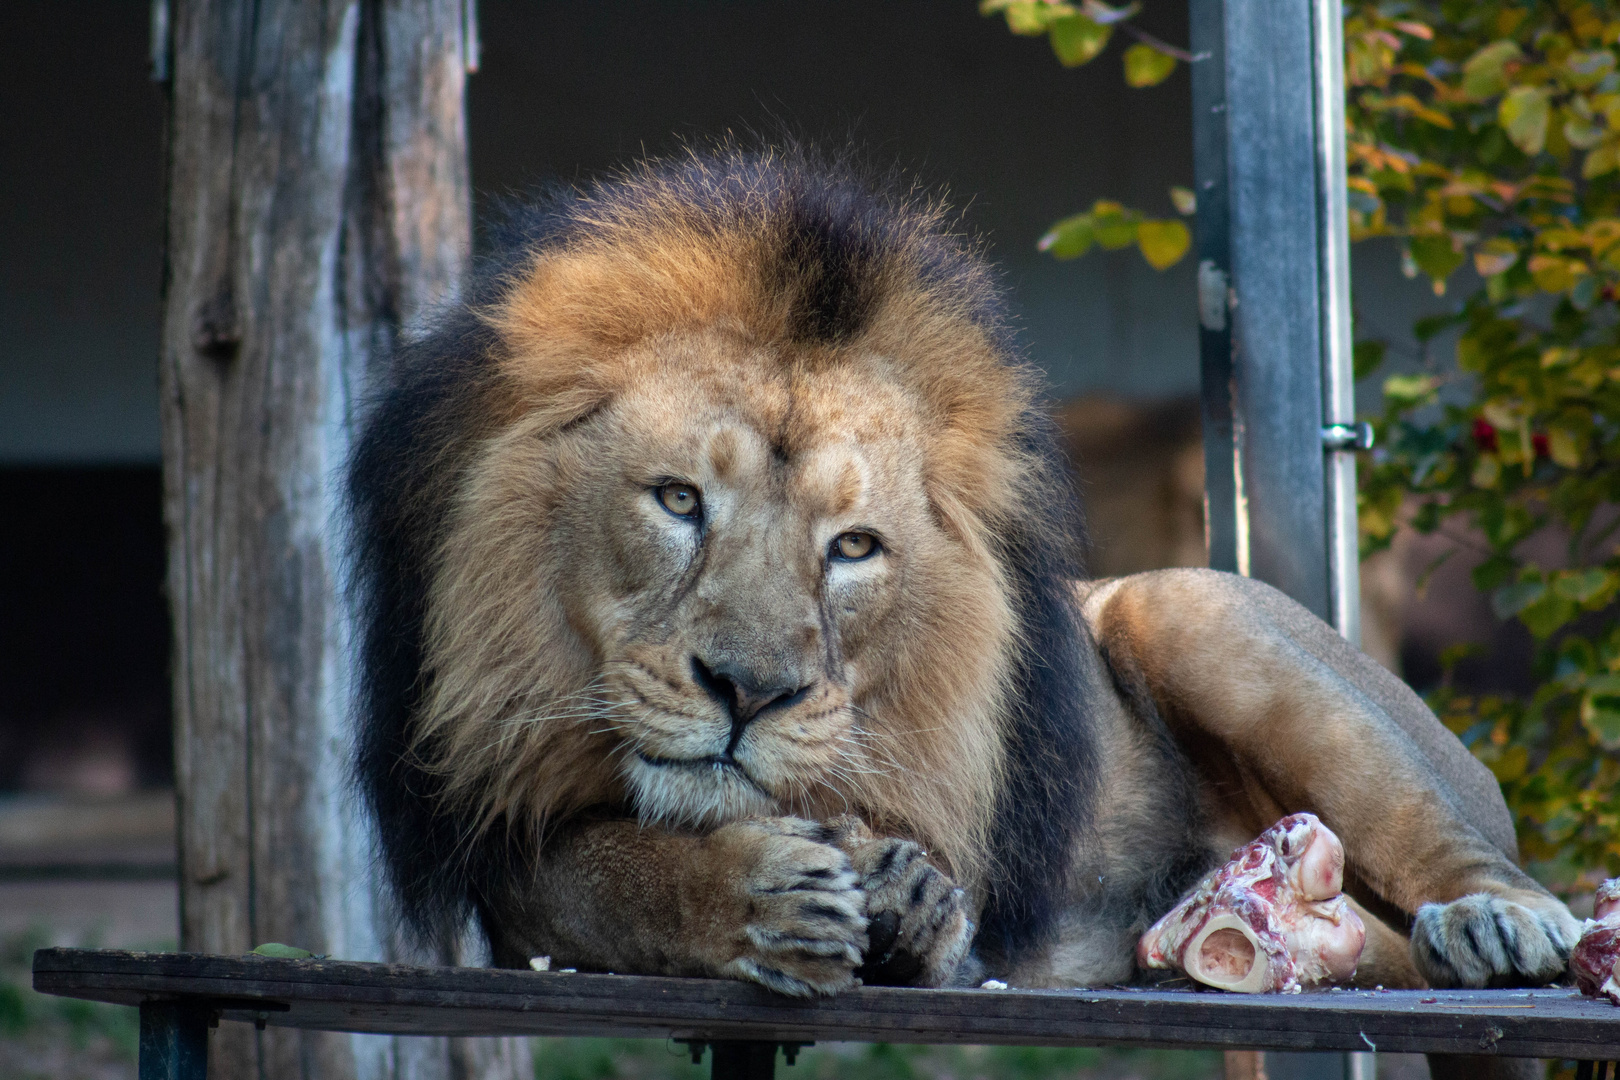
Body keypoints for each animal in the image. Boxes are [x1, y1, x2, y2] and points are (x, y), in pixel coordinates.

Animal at [348, 145, 1574, 1003]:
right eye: (679, 501)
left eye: (852, 547)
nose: (749, 694)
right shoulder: (505, 848)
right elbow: (616, 875)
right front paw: (760, 896)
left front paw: (905, 895)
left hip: (1189, 605)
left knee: (1466, 853)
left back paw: (1500, 926)